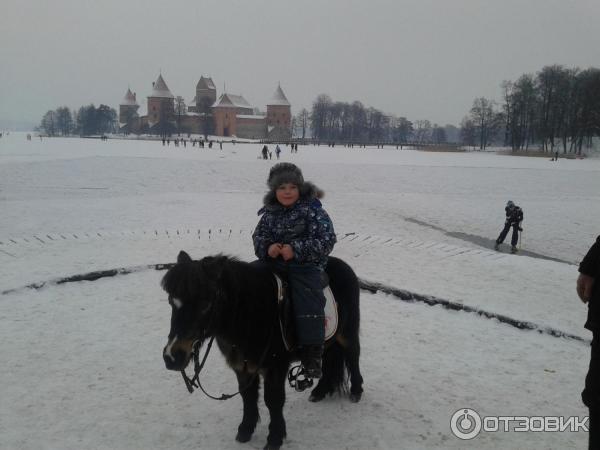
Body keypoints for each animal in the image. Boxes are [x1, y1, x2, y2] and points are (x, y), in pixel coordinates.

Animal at [162, 251, 364, 450]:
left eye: (205, 303)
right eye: (171, 301)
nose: (172, 356)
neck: (253, 314)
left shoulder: (275, 367)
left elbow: (273, 400)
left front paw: (275, 438)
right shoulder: (242, 367)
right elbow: (248, 396)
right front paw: (245, 430)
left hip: (347, 333)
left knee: (353, 355)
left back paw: (356, 391)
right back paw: (320, 391)